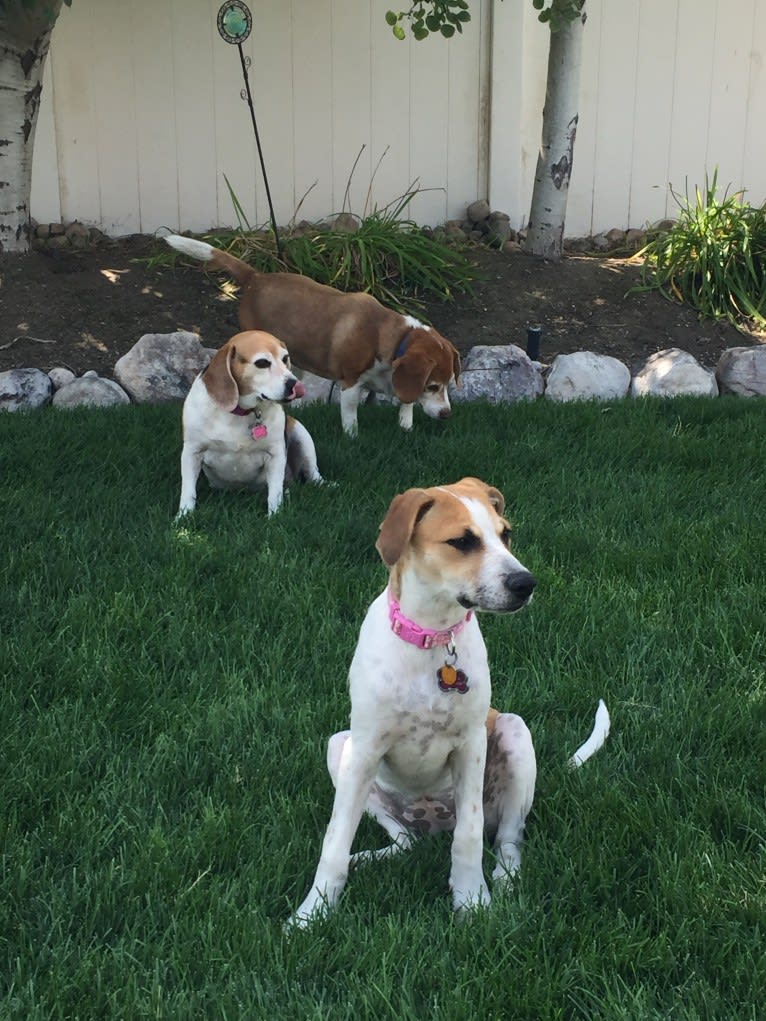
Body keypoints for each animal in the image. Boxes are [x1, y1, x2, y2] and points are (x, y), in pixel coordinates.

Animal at [162, 233, 461, 436]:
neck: (394, 337)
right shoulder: (350, 382)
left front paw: (406, 426)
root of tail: (256, 277)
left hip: (292, 358)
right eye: (432, 386)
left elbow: (405, 404)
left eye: (447, 384)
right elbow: (350, 415)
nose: (447, 414)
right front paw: (352, 437)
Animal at [177, 328, 324, 518]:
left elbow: (275, 492)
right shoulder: (192, 452)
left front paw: (274, 516)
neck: (240, 412)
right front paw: (183, 517)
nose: (295, 384)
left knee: (313, 474)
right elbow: (188, 490)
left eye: (285, 358)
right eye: (262, 363)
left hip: (300, 433)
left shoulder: (275, 454)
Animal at [288, 477, 612, 927]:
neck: (433, 637)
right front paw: (312, 913)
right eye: (462, 541)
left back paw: (505, 881)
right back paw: (368, 858)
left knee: (509, 839)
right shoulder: (365, 749)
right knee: (404, 840)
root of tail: (433, 822)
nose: (525, 583)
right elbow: (334, 842)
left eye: (505, 534)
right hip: (343, 748)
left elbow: (470, 835)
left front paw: (471, 899)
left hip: (513, 731)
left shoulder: (471, 743)